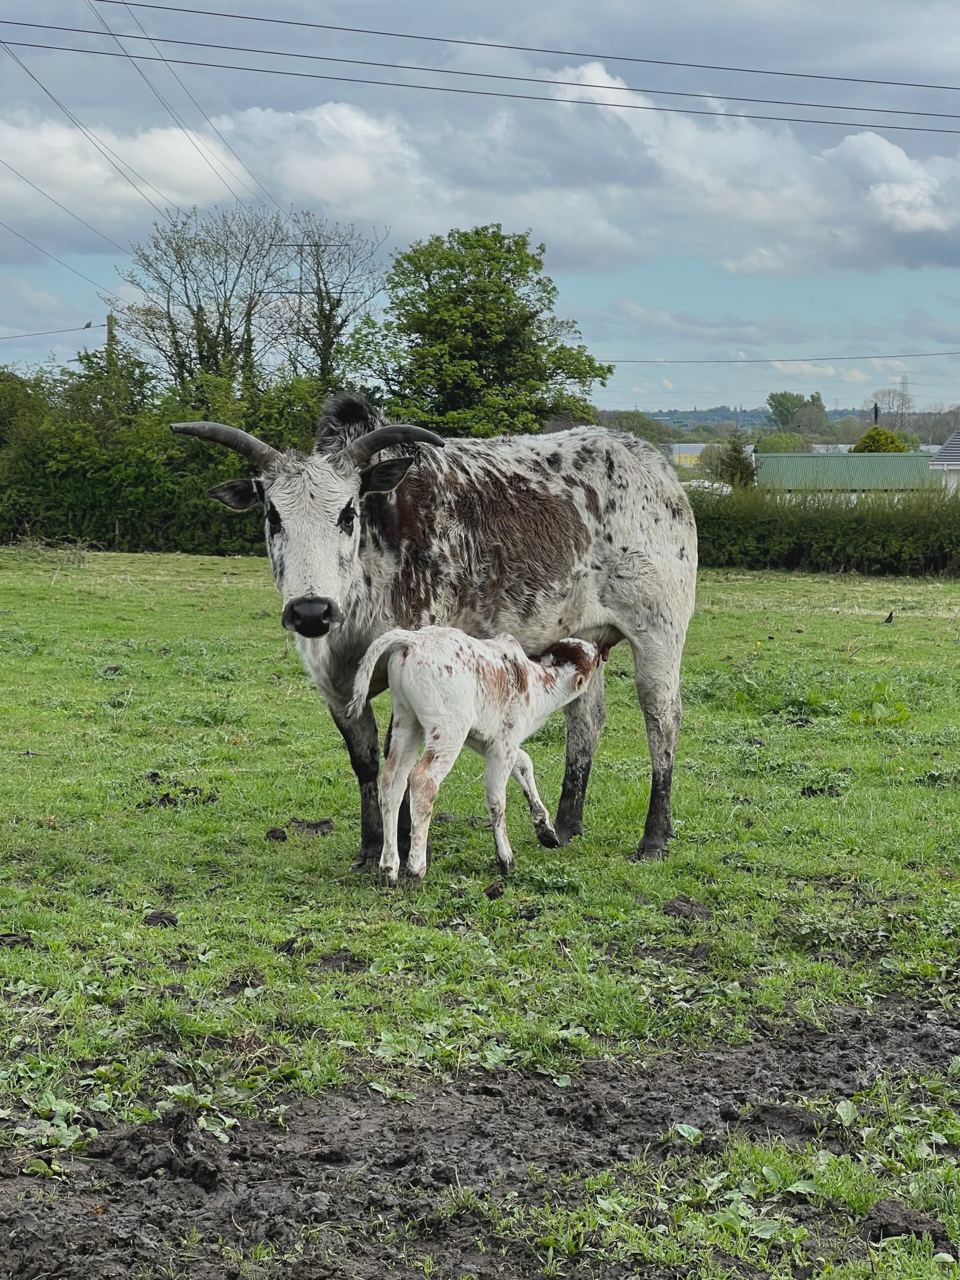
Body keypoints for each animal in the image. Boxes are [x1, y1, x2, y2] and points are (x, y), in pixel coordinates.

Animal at [347, 627, 604, 884]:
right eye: (592, 658)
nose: (598, 649)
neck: (536, 682)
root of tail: (414, 640)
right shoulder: (505, 740)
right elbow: (497, 799)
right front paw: (505, 859)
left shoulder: (484, 739)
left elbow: (524, 763)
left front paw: (546, 830)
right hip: (449, 729)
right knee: (423, 780)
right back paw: (415, 868)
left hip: (407, 721)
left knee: (392, 781)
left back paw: (389, 868)